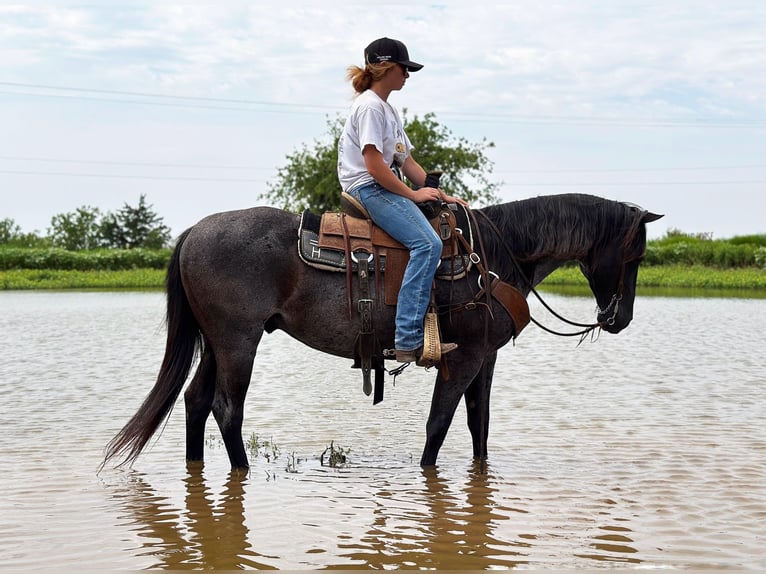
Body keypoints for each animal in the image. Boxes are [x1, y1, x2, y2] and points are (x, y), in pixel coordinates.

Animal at [103, 194, 664, 472]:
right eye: (635, 253)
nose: (621, 319)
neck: (495, 256)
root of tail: (194, 232)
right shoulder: (462, 358)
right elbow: (438, 425)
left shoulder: (485, 358)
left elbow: (478, 427)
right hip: (239, 340)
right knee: (226, 408)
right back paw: (240, 472)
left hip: (218, 341)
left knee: (196, 401)